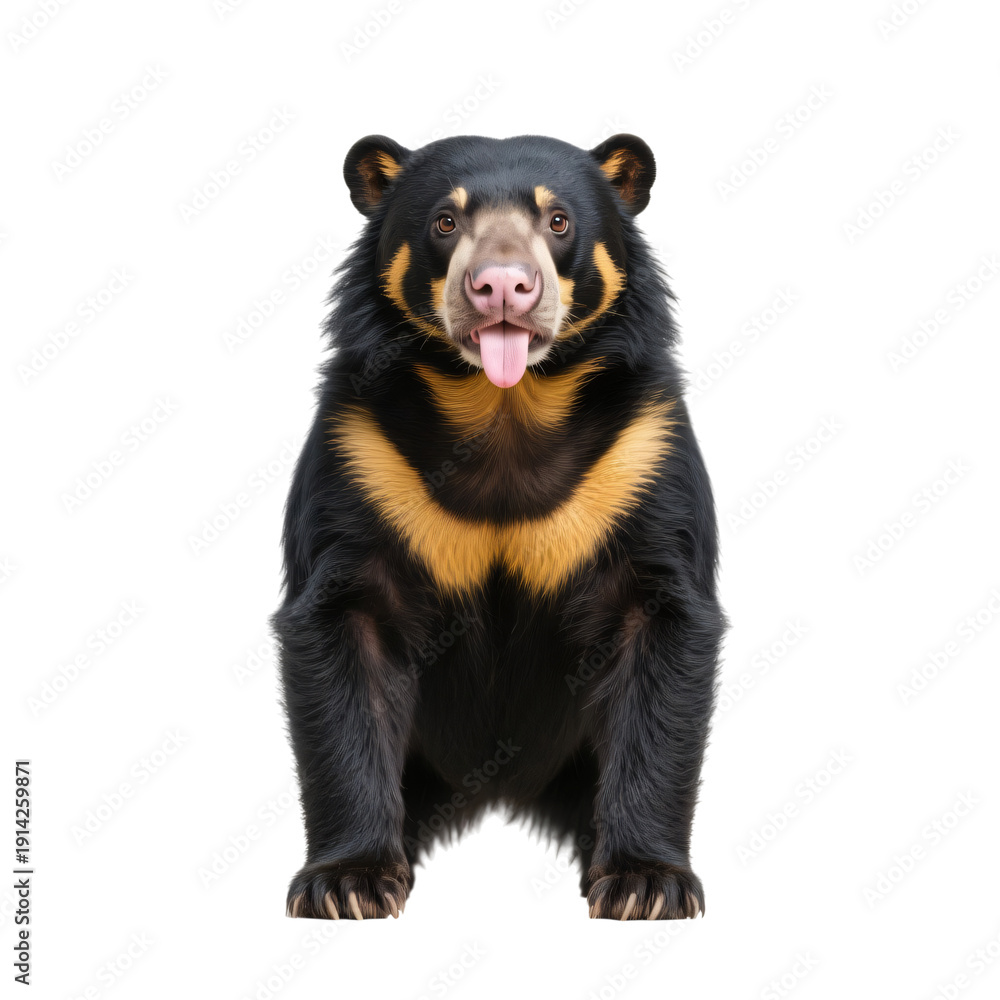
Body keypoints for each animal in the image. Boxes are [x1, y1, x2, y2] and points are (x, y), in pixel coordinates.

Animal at [274, 132, 725, 921]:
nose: (503, 287)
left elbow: (662, 644)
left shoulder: (643, 456)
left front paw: (646, 886)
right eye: (445, 222)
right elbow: (342, 643)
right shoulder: (359, 455)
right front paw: (347, 884)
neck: (503, 406)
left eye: (559, 221)